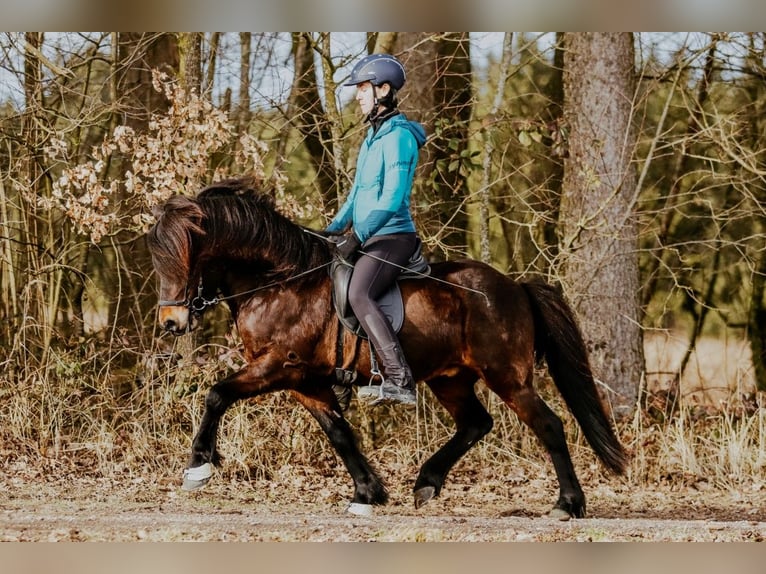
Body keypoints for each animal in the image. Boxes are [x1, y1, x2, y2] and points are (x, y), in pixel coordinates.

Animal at [146, 176, 628, 519]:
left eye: (185, 258)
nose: (171, 323)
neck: (277, 282)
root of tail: (516, 288)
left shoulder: (277, 367)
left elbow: (216, 395)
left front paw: (198, 466)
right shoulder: (306, 381)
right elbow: (339, 433)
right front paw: (368, 493)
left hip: (507, 376)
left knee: (548, 425)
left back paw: (568, 504)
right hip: (451, 379)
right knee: (476, 423)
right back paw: (427, 482)